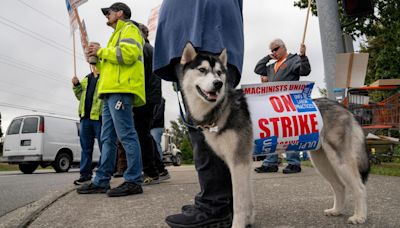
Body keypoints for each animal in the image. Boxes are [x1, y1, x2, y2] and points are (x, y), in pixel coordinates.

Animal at [177, 42, 368, 226]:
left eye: (218, 73)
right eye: (202, 70)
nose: (218, 84)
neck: (223, 108)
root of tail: (343, 107)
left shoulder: (238, 163)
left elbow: (239, 203)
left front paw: (238, 224)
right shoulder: (243, 164)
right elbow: (248, 200)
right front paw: (249, 220)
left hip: (340, 161)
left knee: (359, 187)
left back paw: (359, 216)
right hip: (322, 161)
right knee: (340, 186)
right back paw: (336, 210)